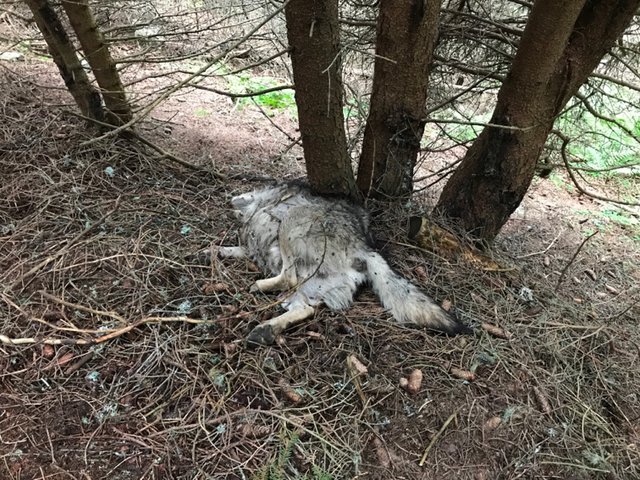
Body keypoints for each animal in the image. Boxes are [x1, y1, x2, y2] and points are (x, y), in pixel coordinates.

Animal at [219, 182, 471, 346]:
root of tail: (365, 248)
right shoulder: (250, 247)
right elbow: (233, 248)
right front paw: (215, 251)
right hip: (312, 285)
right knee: (305, 309)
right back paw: (266, 330)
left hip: (293, 221)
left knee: (288, 279)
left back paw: (261, 289)